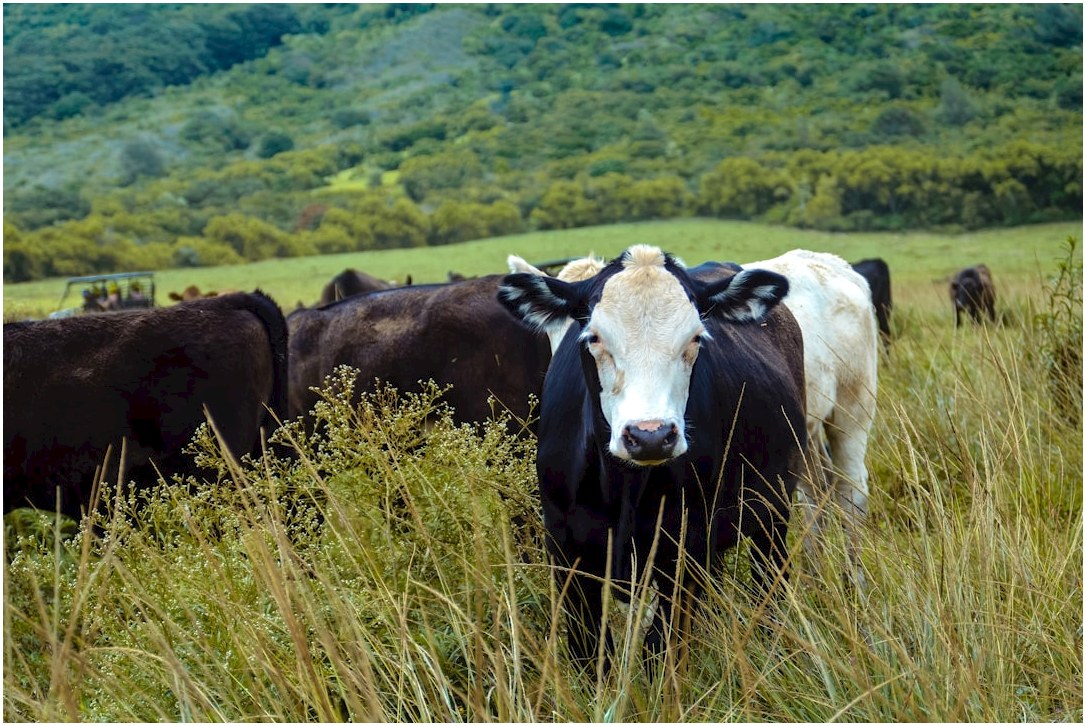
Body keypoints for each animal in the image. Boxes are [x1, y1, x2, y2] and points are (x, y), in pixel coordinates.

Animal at [498, 244, 807, 665]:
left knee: (769, 583)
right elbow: (590, 653)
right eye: (593, 337)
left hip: (772, 511)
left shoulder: (685, 553)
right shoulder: (566, 553)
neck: (622, 489)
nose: (650, 436)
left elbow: (660, 650)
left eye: (696, 338)